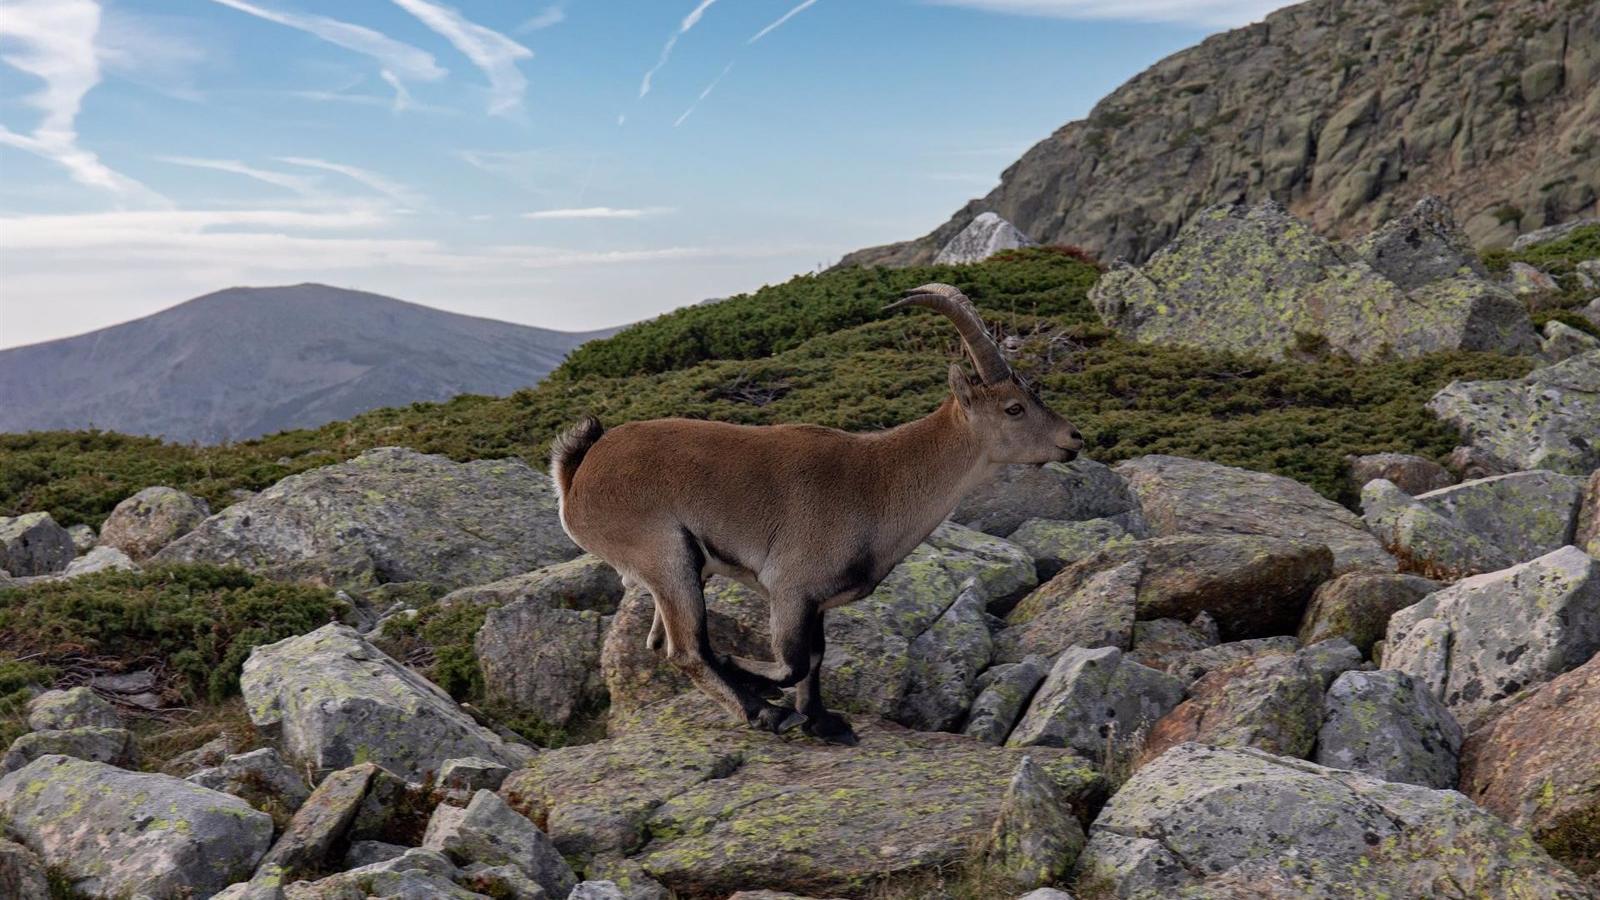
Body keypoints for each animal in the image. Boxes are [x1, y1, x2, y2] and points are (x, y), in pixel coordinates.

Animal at [550, 283, 1084, 744]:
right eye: (1014, 408)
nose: (1074, 438)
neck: (881, 482)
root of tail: (578, 475)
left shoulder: (816, 603)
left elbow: (817, 656)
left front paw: (823, 722)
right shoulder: (789, 588)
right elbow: (794, 662)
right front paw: (764, 685)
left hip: (680, 570)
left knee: (662, 645)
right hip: (667, 555)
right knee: (686, 649)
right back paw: (762, 711)